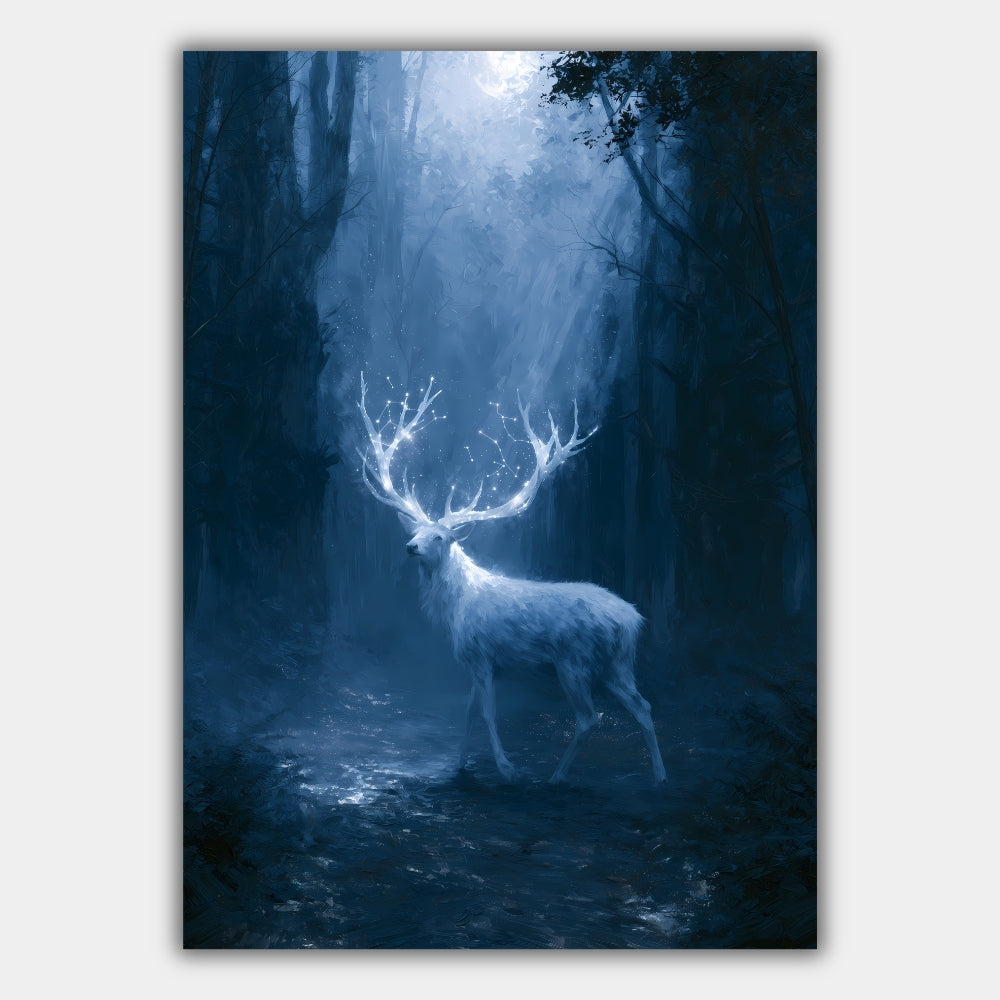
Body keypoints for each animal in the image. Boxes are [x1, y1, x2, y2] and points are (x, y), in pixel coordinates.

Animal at [357, 374, 667, 786]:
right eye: (417, 530)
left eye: (439, 536)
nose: (410, 547)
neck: (453, 610)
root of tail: (633, 620)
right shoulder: (475, 662)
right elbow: (469, 711)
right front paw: (459, 766)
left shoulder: (482, 655)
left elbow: (487, 712)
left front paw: (506, 768)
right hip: (617, 664)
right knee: (643, 705)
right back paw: (659, 776)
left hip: (574, 661)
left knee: (590, 718)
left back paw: (556, 777)